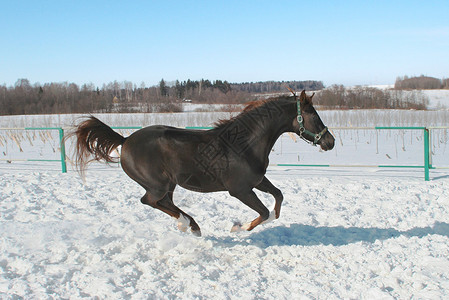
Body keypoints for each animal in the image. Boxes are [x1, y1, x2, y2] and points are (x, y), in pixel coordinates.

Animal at [71, 89, 332, 237]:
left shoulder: (257, 181)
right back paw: (188, 224)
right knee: (149, 201)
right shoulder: (240, 190)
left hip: (169, 185)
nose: (330, 141)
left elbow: (277, 199)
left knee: (165, 203)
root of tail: (124, 141)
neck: (245, 143)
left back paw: (189, 226)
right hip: (157, 185)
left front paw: (243, 225)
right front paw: (239, 228)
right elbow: (265, 211)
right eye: (314, 115)